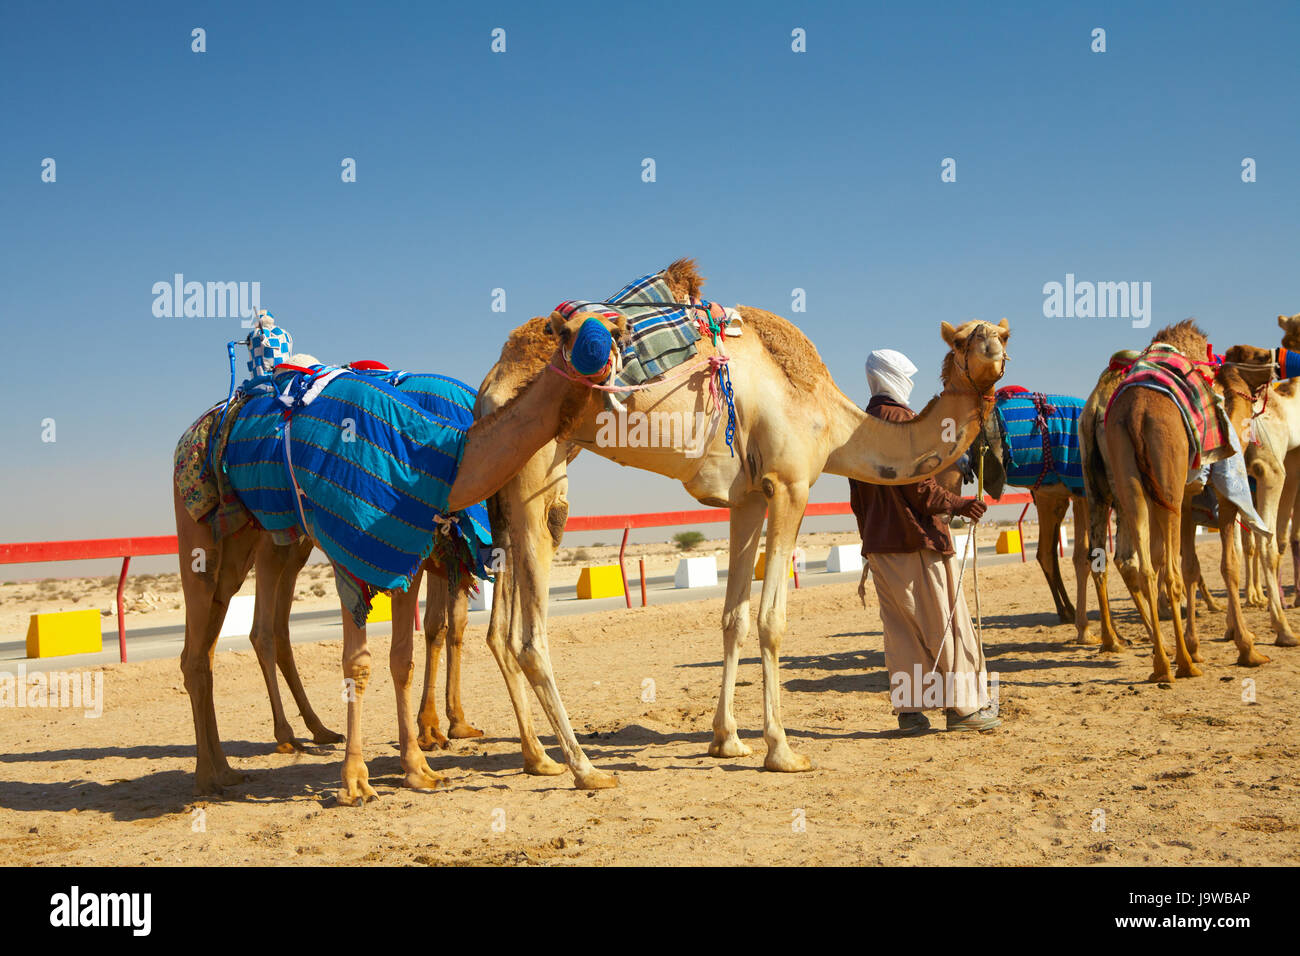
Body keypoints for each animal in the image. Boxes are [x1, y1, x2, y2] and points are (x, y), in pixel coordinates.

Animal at [176, 310, 624, 796]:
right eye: (578, 332)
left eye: (610, 330)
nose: (617, 335)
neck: (437, 458)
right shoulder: (359, 552)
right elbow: (362, 662)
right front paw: (357, 780)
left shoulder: (412, 551)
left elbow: (409, 653)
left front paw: (421, 765)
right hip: (199, 530)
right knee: (206, 645)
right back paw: (214, 772)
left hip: (266, 541)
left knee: (243, 632)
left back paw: (292, 739)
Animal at [467, 257, 1003, 790]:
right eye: (965, 340)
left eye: (1002, 333)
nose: (995, 352)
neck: (832, 419)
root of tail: (492, 381)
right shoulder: (789, 484)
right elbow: (771, 620)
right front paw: (782, 751)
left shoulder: (746, 497)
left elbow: (735, 618)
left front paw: (727, 741)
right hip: (539, 471)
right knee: (531, 637)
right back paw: (586, 768)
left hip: (511, 490)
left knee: (505, 634)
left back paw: (540, 758)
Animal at [1102, 321, 1274, 681]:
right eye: (1255, 355)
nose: (1275, 359)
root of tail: (1136, 410)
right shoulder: (1223, 497)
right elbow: (1228, 565)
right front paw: (1247, 648)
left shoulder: (1190, 505)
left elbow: (1192, 567)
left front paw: (1198, 645)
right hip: (1167, 481)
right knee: (1169, 573)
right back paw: (1182, 664)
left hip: (1130, 482)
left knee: (1148, 569)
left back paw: (1162, 663)